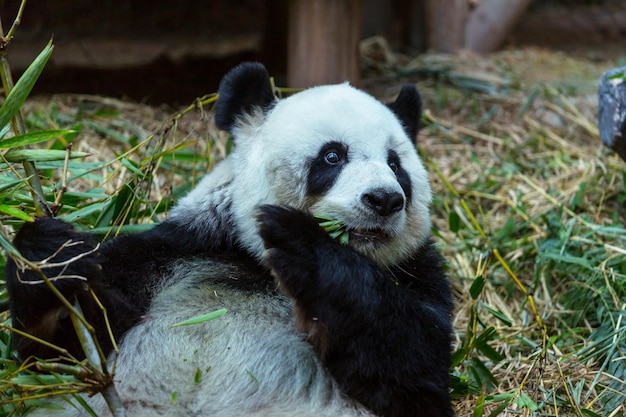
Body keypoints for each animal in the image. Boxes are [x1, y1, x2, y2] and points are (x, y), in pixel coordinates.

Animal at [3, 61, 454, 416]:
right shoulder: (179, 250)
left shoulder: (416, 273)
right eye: (332, 156)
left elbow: (413, 368)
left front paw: (303, 246)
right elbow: (62, 354)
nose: (384, 199)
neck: (257, 266)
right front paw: (50, 257)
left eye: (395, 165)